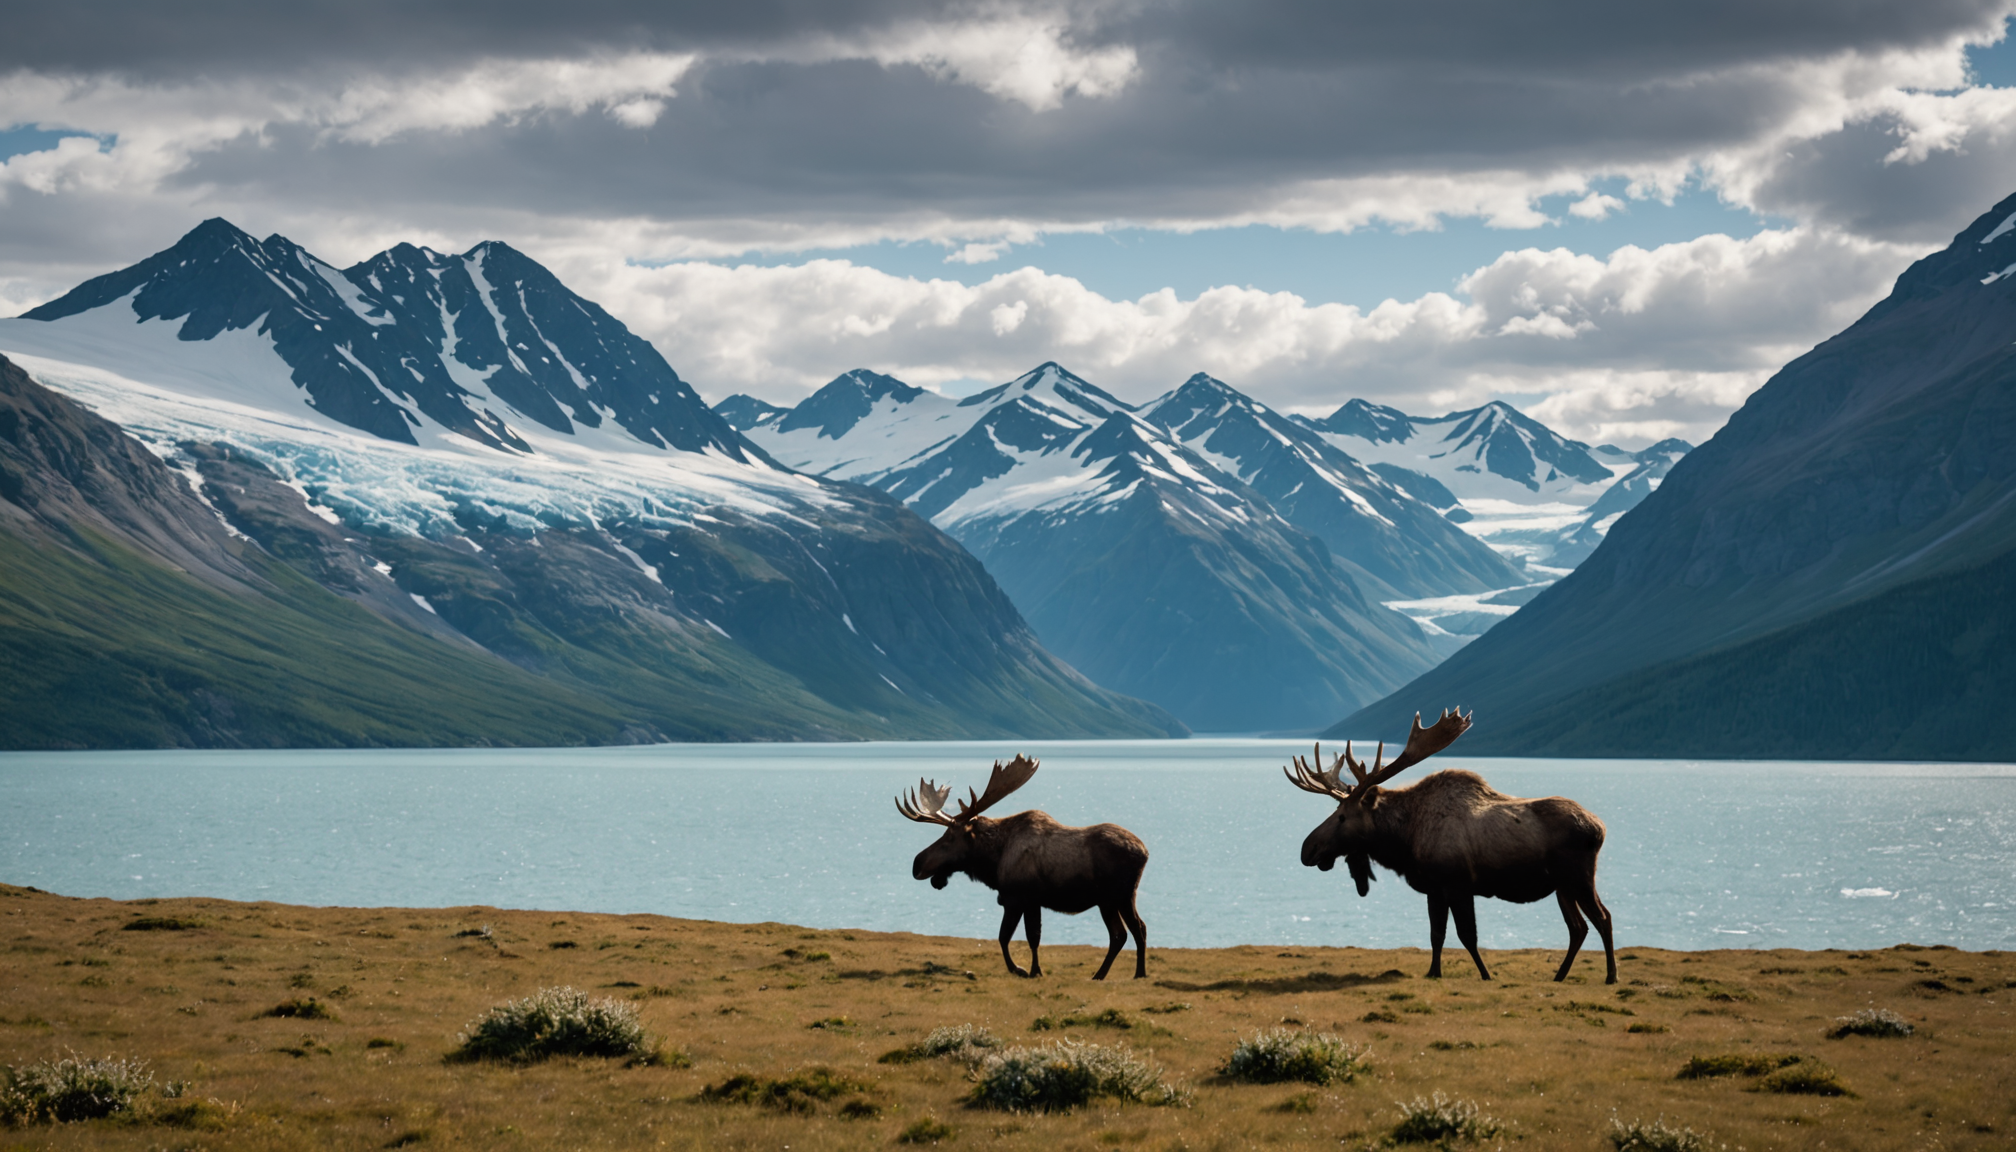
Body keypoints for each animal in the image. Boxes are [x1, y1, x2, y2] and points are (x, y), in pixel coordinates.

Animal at [895, 755, 1150, 980]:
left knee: (1129, 931)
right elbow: (1023, 937)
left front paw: (1024, 969)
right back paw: (1115, 974)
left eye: (949, 838)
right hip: (1115, 899)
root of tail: (1145, 852)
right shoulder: (1025, 900)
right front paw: (1031, 969)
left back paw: (1128, 973)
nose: (916, 864)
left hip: (1116, 897)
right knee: (1130, 931)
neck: (994, 860)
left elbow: (1013, 937)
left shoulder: (1019, 898)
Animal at [1284, 709, 1617, 984]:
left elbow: (1467, 935)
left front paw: (1485, 974)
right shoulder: (1434, 888)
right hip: (1562, 886)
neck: (1405, 840)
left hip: (1579, 877)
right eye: (1335, 811)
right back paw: (1559, 976)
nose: (1307, 849)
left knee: (1603, 918)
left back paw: (1611, 976)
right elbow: (1436, 934)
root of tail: (1599, 827)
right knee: (1578, 928)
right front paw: (1434, 972)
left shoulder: (1458, 884)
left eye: (1342, 816)